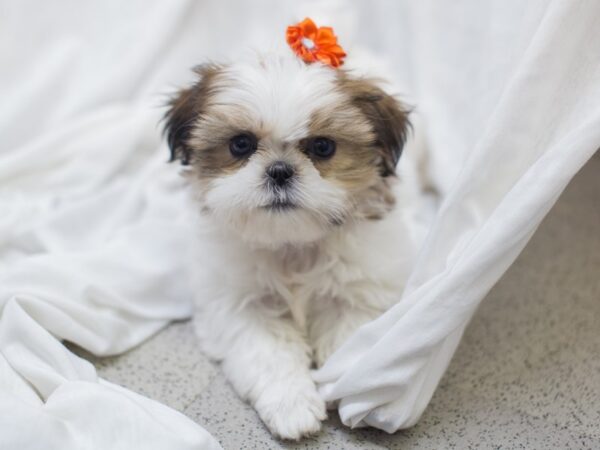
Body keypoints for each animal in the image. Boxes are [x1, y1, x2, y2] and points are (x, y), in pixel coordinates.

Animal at [162, 29, 420, 440]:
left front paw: (351, 387)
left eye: (323, 147)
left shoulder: (359, 293)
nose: (280, 170)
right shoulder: (241, 306)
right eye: (241, 144)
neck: (292, 244)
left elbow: (349, 336)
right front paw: (291, 405)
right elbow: (269, 352)